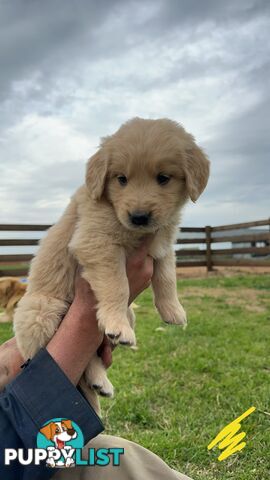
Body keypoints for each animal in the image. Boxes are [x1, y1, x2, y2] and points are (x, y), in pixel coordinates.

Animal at [13, 119, 210, 412]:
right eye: (122, 179)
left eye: (163, 178)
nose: (139, 217)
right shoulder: (97, 242)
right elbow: (118, 284)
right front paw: (117, 323)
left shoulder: (162, 241)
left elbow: (166, 276)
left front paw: (173, 311)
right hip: (42, 314)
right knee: (73, 364)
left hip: (127, 316)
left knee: (89, 358)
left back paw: (100, 383)